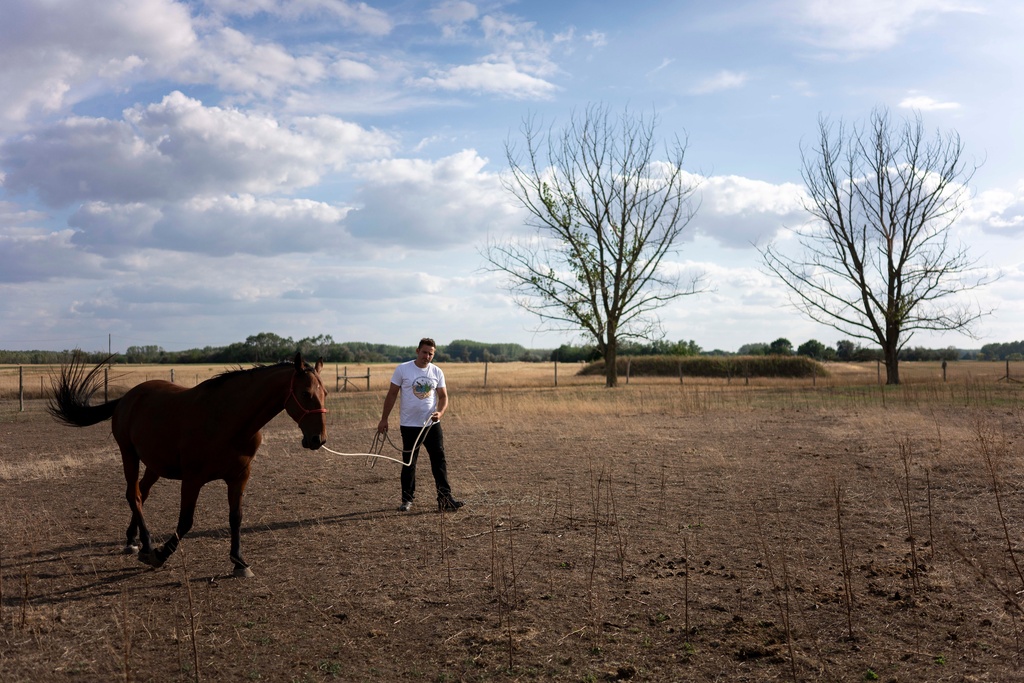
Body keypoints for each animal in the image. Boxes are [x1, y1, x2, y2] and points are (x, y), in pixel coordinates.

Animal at [48, 351, 328, 578]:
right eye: (305, 393)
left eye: (325, 393)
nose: (318, 439)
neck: (228, 419)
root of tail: (128, 396)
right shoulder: (193, 479)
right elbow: (186, 522)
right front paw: (160, 555)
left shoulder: (239, 476)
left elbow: (235, 518)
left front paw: (239, 562)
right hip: (129, 454)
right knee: (134, 495)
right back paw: (147, 544)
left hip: (154, 464)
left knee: (142, 493)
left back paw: (132, 539)